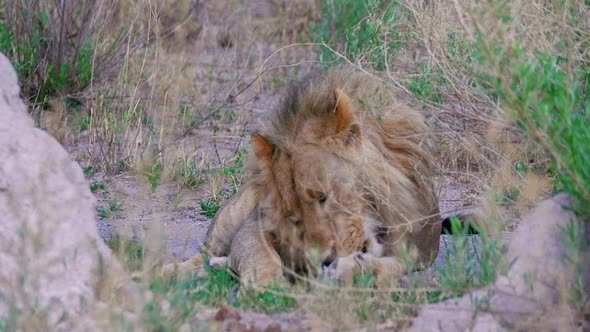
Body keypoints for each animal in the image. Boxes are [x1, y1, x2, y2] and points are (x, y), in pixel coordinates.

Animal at [164, 69, 442, 286]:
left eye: (323, 197)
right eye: (293, 216)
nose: (325, 261)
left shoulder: (422, 250)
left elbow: (394, 266)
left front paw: (351, 268)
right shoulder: (255, 225)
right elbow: (260, 254)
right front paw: (270, 286)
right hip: (229, 217)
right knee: (202, 256)